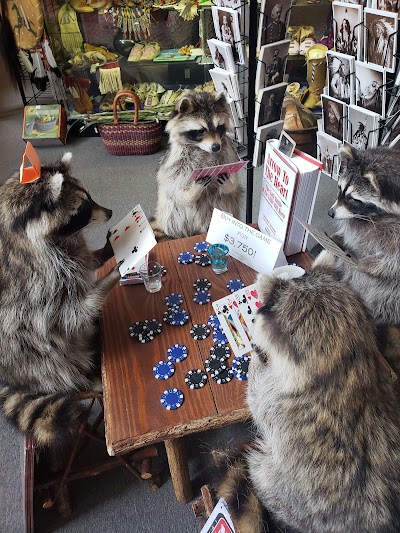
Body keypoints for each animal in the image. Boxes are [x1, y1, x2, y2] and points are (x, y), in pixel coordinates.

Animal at [0, 153, 120, 444]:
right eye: (82, 210)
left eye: (90, 197)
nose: (110, 213)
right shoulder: (37, 283)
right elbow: (70, 313)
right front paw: (105, 282)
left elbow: (85, 260)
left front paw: (104, 252)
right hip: (19, 353)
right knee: (49, 359)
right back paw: (85, 379)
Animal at [151, 92, 242, 241]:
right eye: (200, 131)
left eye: (219, 127)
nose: (216, 147)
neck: (203, 149)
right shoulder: (176, 160)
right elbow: (173, 188)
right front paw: (192, 192)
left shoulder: (229, 154)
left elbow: (233, 186)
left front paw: (227, 183)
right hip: (171, 216)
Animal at [314, 143, 400, 322]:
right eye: (339, 188)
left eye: (354, 199)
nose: (330, 213)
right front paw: (336, 238)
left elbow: (392, 260)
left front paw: (364, 262)